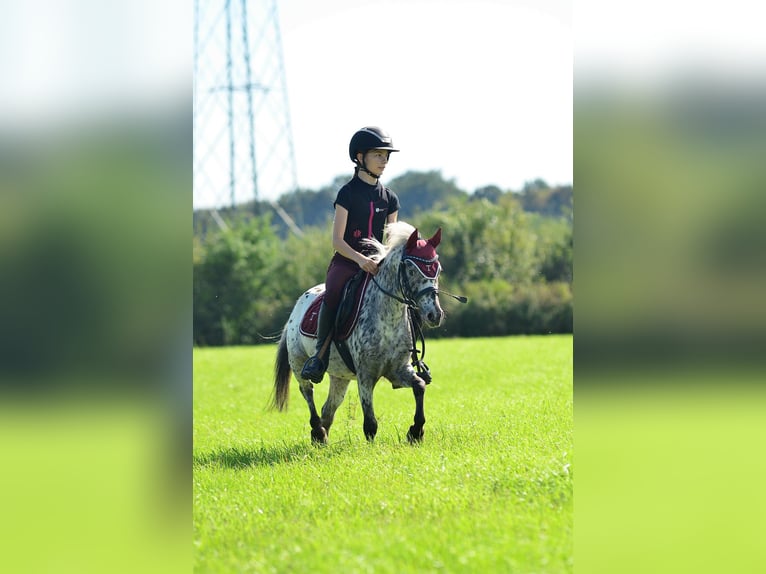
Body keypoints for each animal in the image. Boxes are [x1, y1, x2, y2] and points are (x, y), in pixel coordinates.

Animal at [271, 221, 447, 444]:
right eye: (411, 269)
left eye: (437, 269)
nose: (435, 314)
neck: (388, 318)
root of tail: (297, 306)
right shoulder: (365, 374)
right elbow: (370, 421)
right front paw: (373, 446)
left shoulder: (399, 369)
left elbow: (420, 386)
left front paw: (415, 432)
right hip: (298, 363)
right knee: (308, 393)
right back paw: (318, 431)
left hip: (339, 376)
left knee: (328, 408)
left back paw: (321, 438)